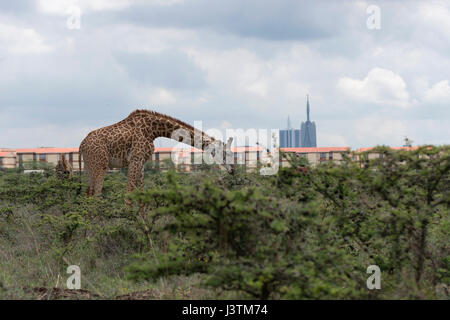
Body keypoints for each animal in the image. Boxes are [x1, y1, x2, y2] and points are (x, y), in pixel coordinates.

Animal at [78, 109, 232, 196]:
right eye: (226, 154)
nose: (232, 170)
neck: (153, 130)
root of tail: (82, 145)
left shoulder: (141, 162)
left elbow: (141, 194)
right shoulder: (135, 159)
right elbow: (129, 192)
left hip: (89, 167)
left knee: (88, 193)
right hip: (101, 165)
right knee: (96, 193)